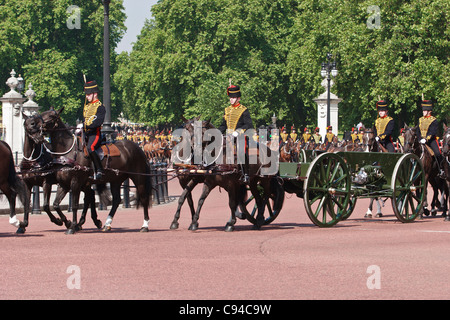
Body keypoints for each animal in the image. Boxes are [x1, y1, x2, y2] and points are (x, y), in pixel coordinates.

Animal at [24, 108, 153, 235]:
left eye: (51, 116)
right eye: (42, 114)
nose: (33, 125)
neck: (66, 152)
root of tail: (138, 148)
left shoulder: (75, 182)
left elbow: (75, 205)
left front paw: (72, 226)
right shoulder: (64, 184)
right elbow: (55, 204)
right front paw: (67, 222)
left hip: (138, 178)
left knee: (143, 198)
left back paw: (145, 225)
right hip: (115, 180)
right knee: (116, 200)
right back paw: (106, 224)